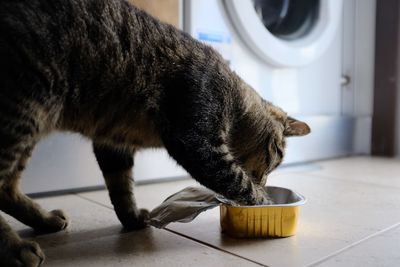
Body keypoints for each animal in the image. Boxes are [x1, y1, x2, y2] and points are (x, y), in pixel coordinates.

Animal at [0, 0, 310, 264]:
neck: (233, 97)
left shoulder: (113, 144)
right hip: (23, 112)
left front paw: (132, 218)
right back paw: (17, 248)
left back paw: (44, 220)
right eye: (277, 155)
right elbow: (238, 180)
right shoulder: (196, 140)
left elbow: (122, 188)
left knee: (7, 189)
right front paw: (263, 201)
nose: (266, 179)